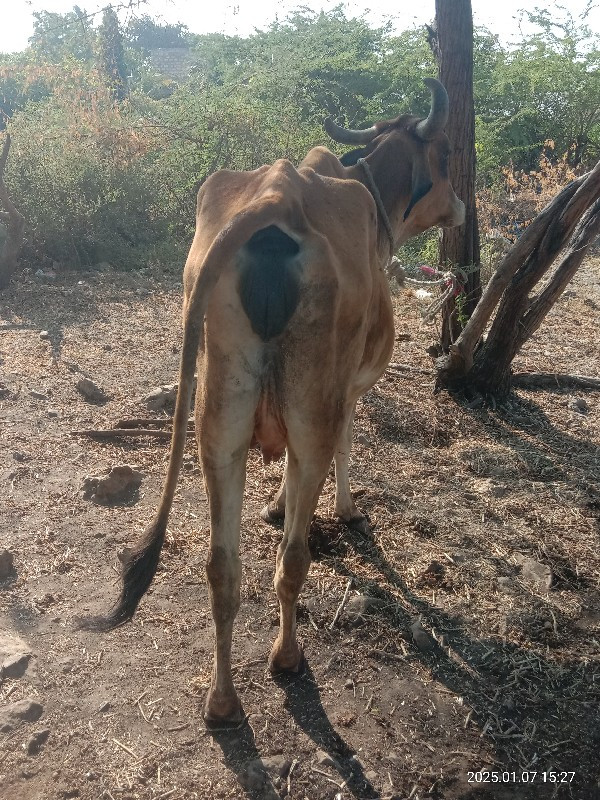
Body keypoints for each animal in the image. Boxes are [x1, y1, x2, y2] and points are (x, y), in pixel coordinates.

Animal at [84, 78, 466, 720]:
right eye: (442, 158)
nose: (462, 206)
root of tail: (276, 201)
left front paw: (274, 506)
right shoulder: (349, 390)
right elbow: (345, 448)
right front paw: (341, 508)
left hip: (218, 422)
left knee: (221, 567)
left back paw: (221, 698)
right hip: (309, 412)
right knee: (293, 558)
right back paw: (286, 657)